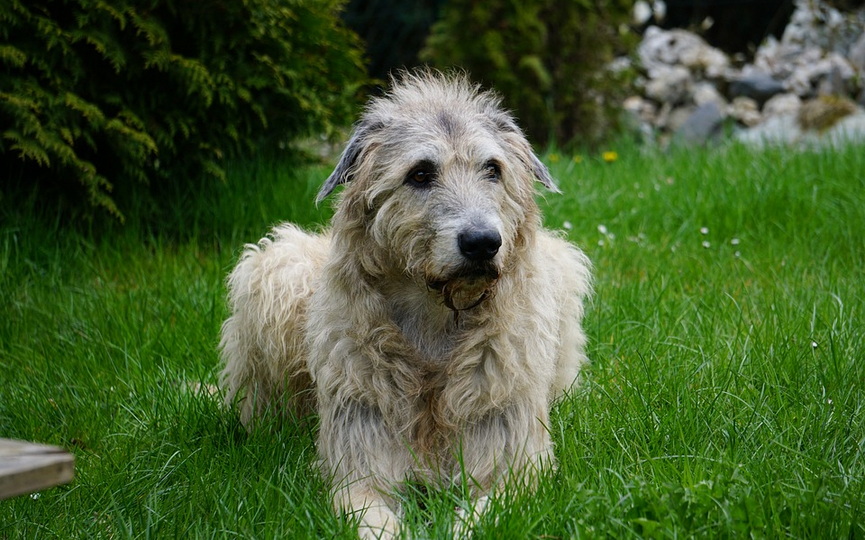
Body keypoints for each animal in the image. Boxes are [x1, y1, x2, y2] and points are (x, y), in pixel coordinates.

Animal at [219, 69, 592, 536]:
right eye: (419, 173)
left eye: (493, 168)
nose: (483, 243)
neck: (436, 319)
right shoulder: (358, 466)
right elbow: (369, 509)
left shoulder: (515, 468)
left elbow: (485, 511)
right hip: (275, 270)